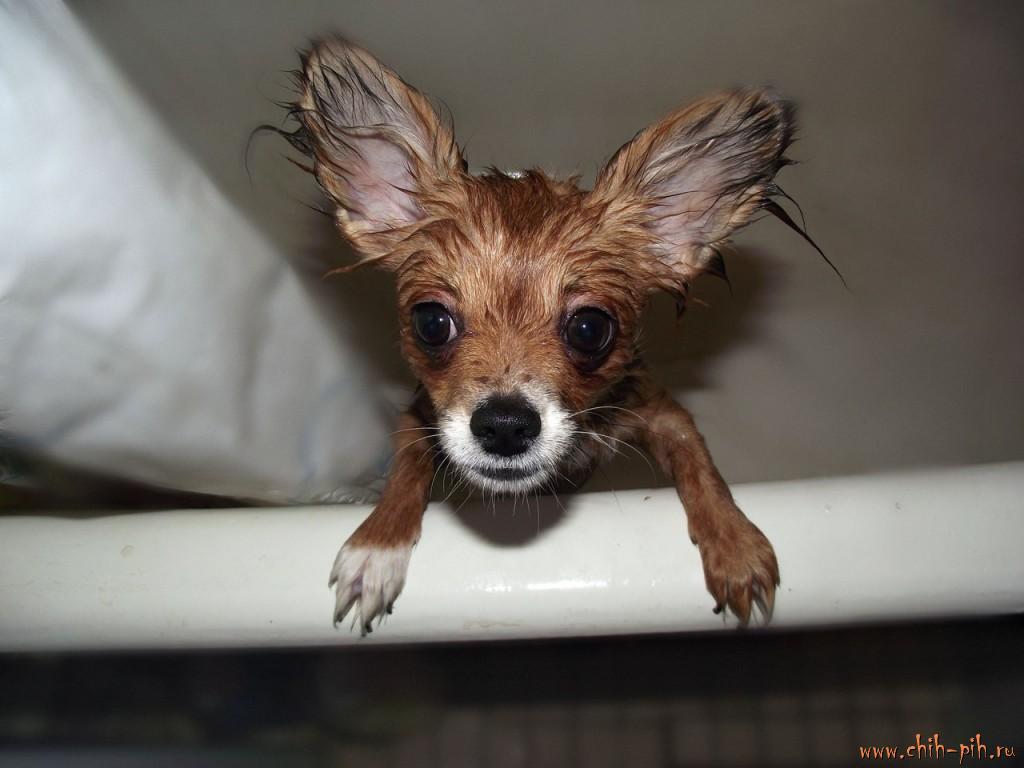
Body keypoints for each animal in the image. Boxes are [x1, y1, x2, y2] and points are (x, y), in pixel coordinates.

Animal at [276, 38, 825, 634]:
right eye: (431, 322)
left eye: (590, 329)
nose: (505, 424)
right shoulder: (420, 416)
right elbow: (406, 468)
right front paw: (376, 546)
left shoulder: (658, 412)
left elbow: (702, 469)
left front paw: (736, 544)